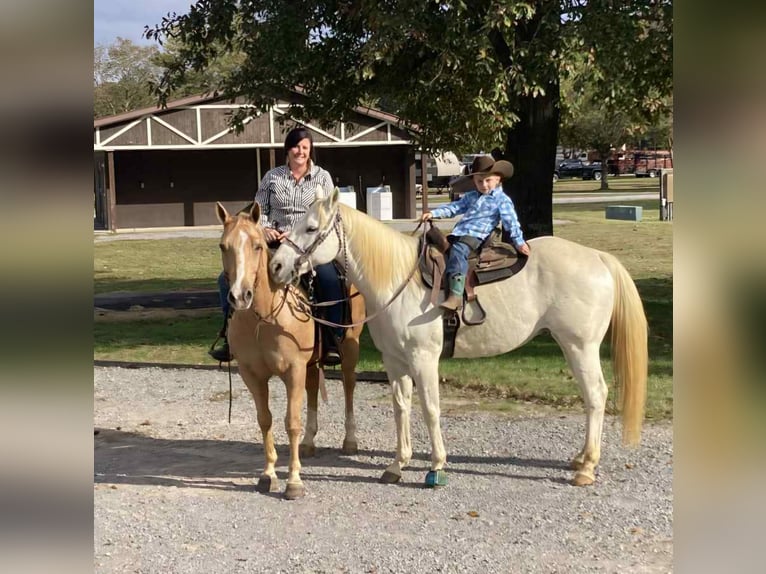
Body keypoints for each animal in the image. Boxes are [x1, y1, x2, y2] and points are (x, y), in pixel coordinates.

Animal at [215, 201, 365, 499]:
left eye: (257, 246)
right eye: (223, 246)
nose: (239, 296)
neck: (263, 318)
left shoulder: (293, 370)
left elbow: (291, 422)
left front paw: (294, 481)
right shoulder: (252, 375)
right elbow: (265, 420)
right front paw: (268, 475)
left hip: (348, 350)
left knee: (349, 386)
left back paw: (350, 440)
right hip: (311, 363)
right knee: (312, 389)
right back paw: (308, 443)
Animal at [269, 189, 648, 487]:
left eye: (311, 227)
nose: (276, 266)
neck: (396, 279)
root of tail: (598, 258)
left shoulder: (424, 359)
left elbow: (430, 409)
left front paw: (436, 467)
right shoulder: (395, 361)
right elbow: (401, 407)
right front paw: (397, 464)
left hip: (579, 346)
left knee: (596, 395)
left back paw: (587, 468)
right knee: (591, 397)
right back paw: (580, 459)